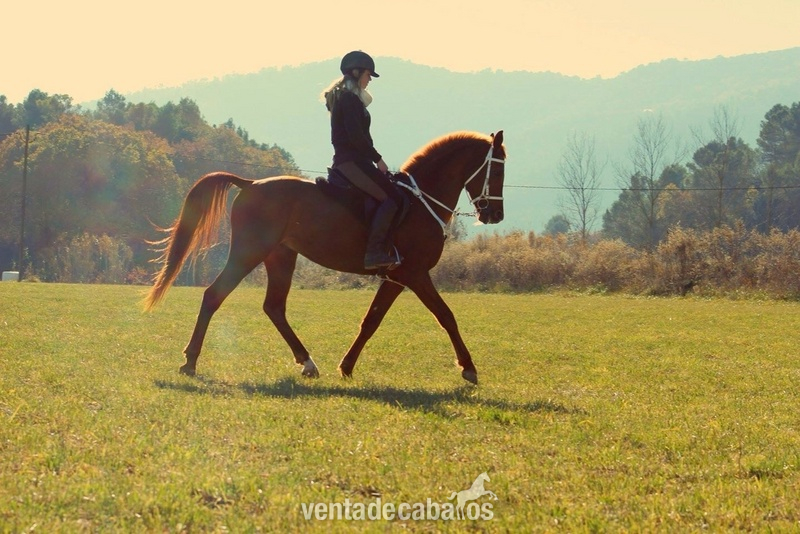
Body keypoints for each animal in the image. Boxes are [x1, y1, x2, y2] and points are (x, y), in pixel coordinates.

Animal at [143, 130, 506, 385]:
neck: (419, 201)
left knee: (274, 307)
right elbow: (446, 316)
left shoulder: (396, 279)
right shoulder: (415, 275)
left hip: (280, 257)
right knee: (214, 296)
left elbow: (371, 321)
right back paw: (190, 361)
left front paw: (346, 367)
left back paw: (307, 362)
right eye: (498, 169)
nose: (495, 215)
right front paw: (469, 368)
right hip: (249, 252)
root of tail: (251, 183)